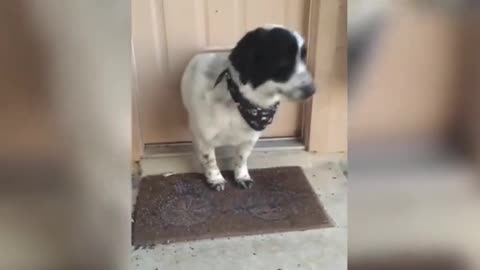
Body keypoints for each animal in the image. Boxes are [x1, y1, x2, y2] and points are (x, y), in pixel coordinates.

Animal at [181, 24, 316, 190]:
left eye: (303, 59)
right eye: (283, 61)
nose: (312, 90)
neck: (241, 101)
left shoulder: (250, 138)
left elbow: (241, 158)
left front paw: (241, 176)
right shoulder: (204, 136)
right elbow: (210, 160)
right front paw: (215, 178)